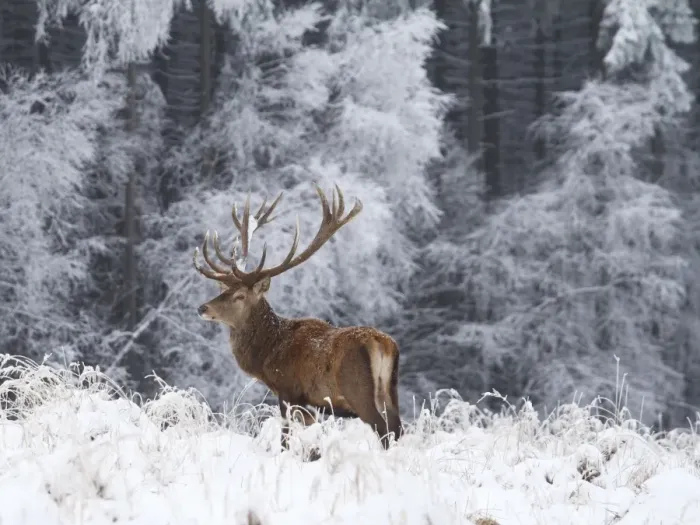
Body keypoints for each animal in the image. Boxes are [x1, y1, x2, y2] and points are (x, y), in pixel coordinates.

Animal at [192, 183, 403, 456]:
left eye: (239, 295)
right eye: (223, 290)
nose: (202, 308)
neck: (268, 354)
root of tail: (383, 344)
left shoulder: (288, 391)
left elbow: (286, 438)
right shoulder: (310, 403)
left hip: (358, 390)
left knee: (383, 429)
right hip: (390, 390)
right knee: (398, 428)